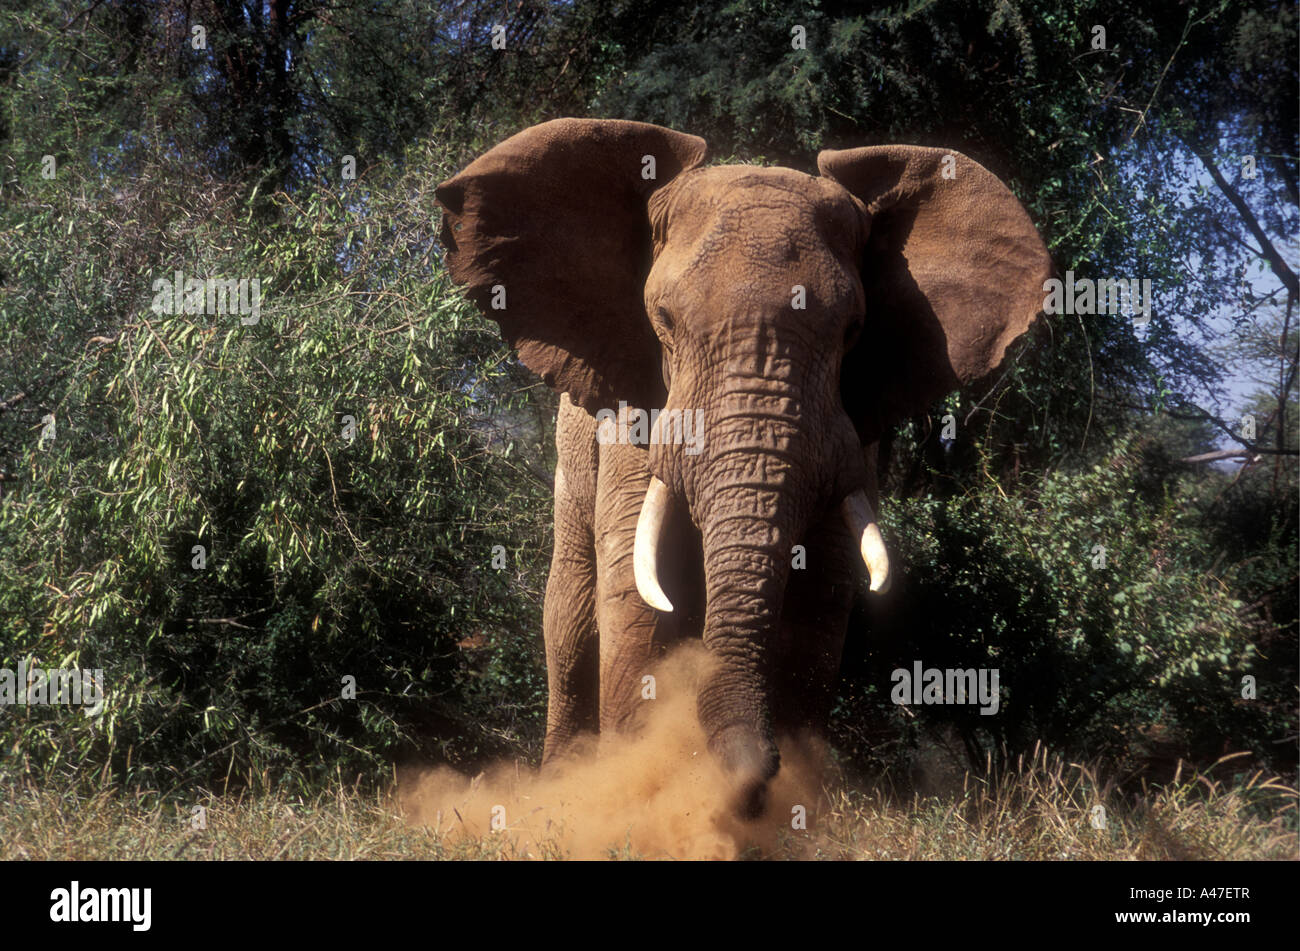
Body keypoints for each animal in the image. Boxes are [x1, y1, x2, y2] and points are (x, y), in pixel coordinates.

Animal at [436, 118, 1055, 815]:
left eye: (853, 331)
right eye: (663, 322)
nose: (753, 780)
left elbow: (824, 597)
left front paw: (793, 806)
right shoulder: (637, 418)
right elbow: (637, 593)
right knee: (569, 621)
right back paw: (561, 786)